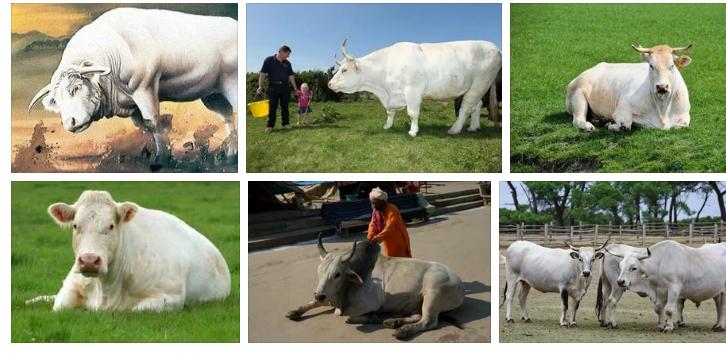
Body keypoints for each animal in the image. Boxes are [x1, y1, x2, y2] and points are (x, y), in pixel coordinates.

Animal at [27, 7, 239, 164]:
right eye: (57, 101)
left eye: (76, 87)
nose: (69, 123)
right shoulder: (132, 104)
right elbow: (144, 126)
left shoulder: (145, 88)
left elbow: (152, 122)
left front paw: (162, 159)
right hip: (213, 94)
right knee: (227, 118)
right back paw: (231, 155)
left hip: (232, 85)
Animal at [27, 192, 230, 312]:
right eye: (75, 226)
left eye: (111, 226)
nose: (89, 260)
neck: (107, 289)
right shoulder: (70, 288)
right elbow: (59, 306)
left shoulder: (170, 297)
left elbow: (136, 310)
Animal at [286, 236, 466, 340]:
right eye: (319, 271)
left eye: (337, 274)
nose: (319, 294)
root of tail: (459, 283)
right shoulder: (327, 296)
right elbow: (312, 303)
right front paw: (295, 311)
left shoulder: (367, 304)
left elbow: (346, 315)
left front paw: (372, 317)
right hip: (417, 302)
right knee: (418, 315)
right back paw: (394, 322)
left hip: (432, 294)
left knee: (428, 321)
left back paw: (402, 330)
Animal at [328, 39, 500, 138]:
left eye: (344, 70)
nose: (329, 84)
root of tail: (495, 48)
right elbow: (390, 113)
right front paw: (387, 126)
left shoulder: (413, 90)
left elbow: (412, 113)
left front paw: (413, 131)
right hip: (478, 88)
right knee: (476, 106)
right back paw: (473, 127)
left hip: (479, 84)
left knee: (465, 108)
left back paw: (455, 129)